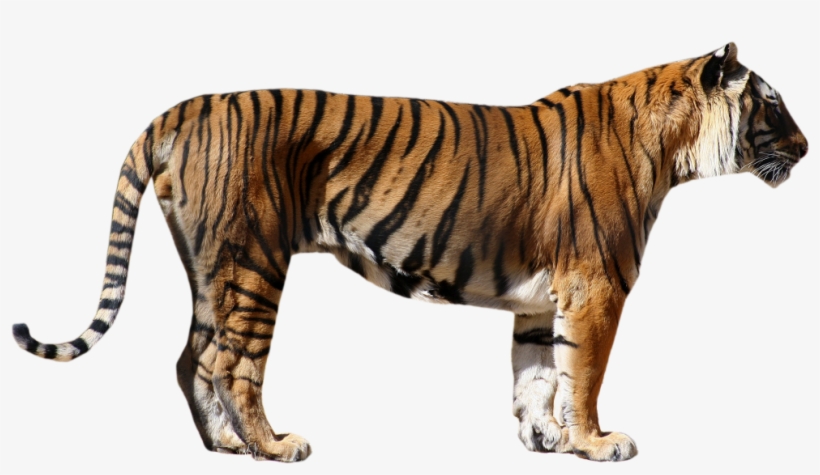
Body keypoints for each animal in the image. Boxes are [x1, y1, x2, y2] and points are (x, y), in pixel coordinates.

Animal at [11, 43, 808, 462]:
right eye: (772, 103)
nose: (806, 146)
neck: (675, 148)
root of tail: (183, 108)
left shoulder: (540, 298)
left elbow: (535, 374)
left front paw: (544, 438)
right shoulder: (596, 288)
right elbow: (582, 375)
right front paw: (596, 441)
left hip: (213, 268)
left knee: (191, 357)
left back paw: (227, 447)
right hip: (253, 263)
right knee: (231, 363)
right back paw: (275, 446)